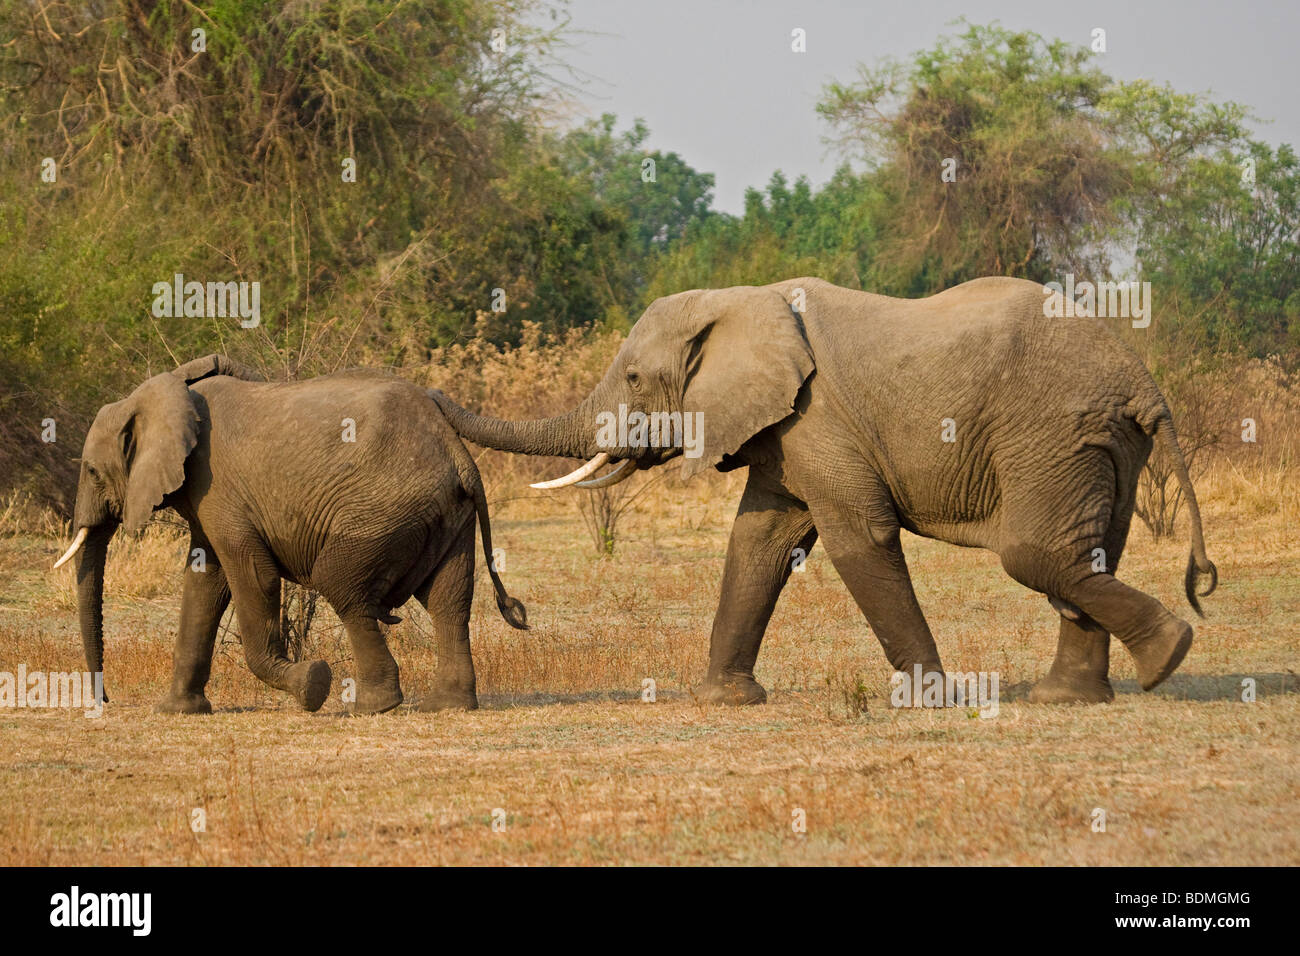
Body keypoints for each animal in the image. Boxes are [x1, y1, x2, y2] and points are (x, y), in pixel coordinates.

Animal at [55, 356, 522, 712]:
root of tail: (456, 449)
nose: (106, 701)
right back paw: (447, 705)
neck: (166, 393)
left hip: (386, 510)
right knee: (449, 601)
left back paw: (372, 706)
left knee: (343, 586)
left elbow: (252, 576)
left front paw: (312, 685)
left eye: (91, 471)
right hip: (445, 514)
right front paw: (178, 711)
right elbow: (205, 583)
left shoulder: (218, 489)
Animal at [431, 277, 1211, 702]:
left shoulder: (819, 417)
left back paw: (1170, 653)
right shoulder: (787, 430)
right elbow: (759, 541)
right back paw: (1084, 692)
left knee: (1034, 555)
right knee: (1088, 554)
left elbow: (856, 536)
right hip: (1100, 444)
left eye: (632, 378)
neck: (742, 301)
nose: (432, 393)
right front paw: (724, 701)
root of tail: (1143, 382)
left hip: (1053, 433)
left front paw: (930, 701)